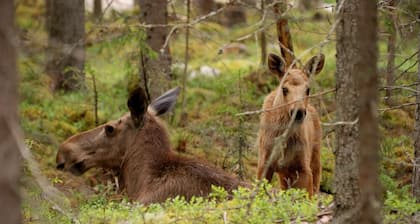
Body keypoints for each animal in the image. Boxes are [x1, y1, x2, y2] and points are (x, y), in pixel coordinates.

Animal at [256, 53, 324, 197]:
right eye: (284, 88)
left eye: (308, 89)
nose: (298, 112)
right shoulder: (264, 162)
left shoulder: (303, 167)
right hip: (284, 175)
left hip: (315, 159)